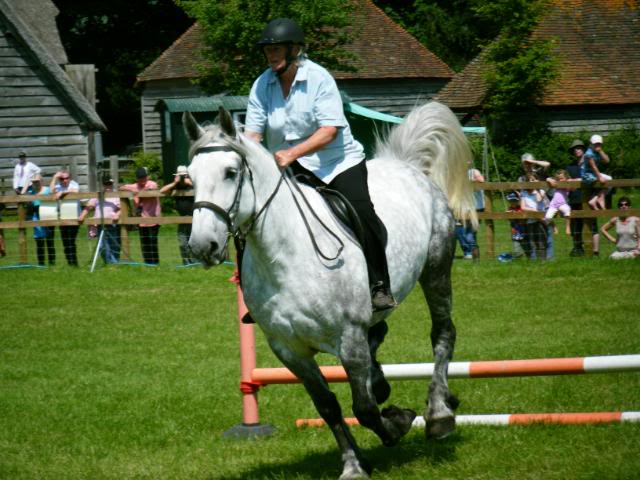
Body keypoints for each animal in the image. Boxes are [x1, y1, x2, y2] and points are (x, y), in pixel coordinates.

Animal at [185, 103, 476, 478]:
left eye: (230, 172)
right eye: (190, 177)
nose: (201, 246)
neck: (283, 255)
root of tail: (406, 165)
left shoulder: (348, 336)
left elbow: (364, 409)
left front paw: (396, 424)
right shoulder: (289, 350)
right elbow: (328, 407)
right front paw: (353, 463)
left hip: (436, 269)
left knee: (442, 334)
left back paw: (440, 412)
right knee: (380, 333)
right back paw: (386, 384)